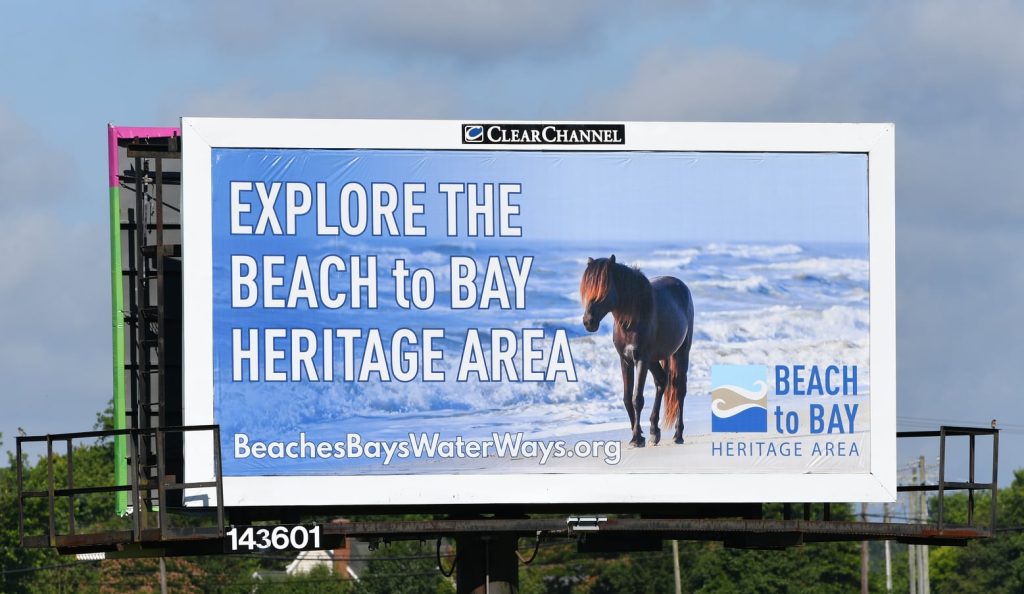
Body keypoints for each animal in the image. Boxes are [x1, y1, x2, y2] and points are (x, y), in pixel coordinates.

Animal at [581, 255, 692, 446]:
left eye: (604, 289)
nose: (588, 322)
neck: (632, 318)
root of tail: (681, 286)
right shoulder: (625, 360)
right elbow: (627, 399)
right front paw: (639, 434)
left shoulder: (641, 359)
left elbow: (637, 399)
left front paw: (636, 438)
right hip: (654, 360)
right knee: (662, 381)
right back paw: (655, 431)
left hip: (681, 353)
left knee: (679, 389)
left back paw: (678, 434)